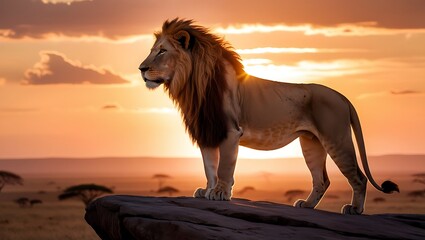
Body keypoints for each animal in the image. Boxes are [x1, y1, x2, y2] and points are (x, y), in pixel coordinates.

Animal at [138, 18, 398, 214]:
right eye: (152, 51)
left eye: (162, 51)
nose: (141, 69)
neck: (194, 85)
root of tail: (342, 96)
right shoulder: (208, 131)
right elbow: (209, 166)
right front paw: (207, 190)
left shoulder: (230, 132)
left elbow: (224, 167)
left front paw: (220, 193)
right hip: (311, 143)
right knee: (322, 179)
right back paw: (306, 205)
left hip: (336, 139)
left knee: (359, 177)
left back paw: (354, 209)